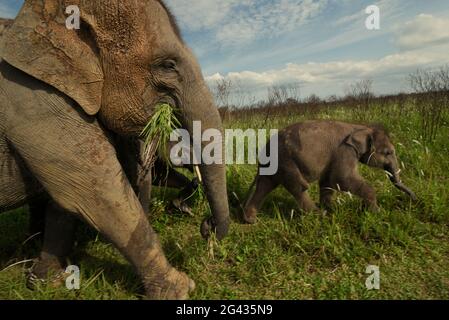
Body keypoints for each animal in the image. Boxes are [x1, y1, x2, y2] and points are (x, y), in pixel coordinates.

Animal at [0, 0, 229, 300]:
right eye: (168, 65)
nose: (207, 226)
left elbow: (66, 195)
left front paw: (45, 281)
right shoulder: (32, 98)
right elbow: (94, 192)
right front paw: (181, 289)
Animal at [243, 119, 414, 224]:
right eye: (388, 153)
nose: (414, 198)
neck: (360, 127)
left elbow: (328, 181)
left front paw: (332, 209)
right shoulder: (344, 151)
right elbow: (342, 179)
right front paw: (376, 212)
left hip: (276, 165)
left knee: (265, 185)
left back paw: (250, 220)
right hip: (286, 162)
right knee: (299, 187)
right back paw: (319, 216)